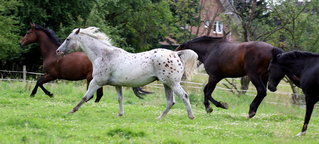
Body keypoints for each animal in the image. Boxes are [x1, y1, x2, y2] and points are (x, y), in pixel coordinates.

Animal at [56, 27, 199, 119]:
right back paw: (159, 118)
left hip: (172, 83)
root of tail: (176, 54)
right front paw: (120, 114)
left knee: (184, 96)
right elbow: (120, 99)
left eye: (68, 39)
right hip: (166, 84)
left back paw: (191, 116)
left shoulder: (96, 82)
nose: (58, 51)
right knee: (171, 102)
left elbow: (85, 97)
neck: (104, 55)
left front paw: (71, 111)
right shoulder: (117, 85)